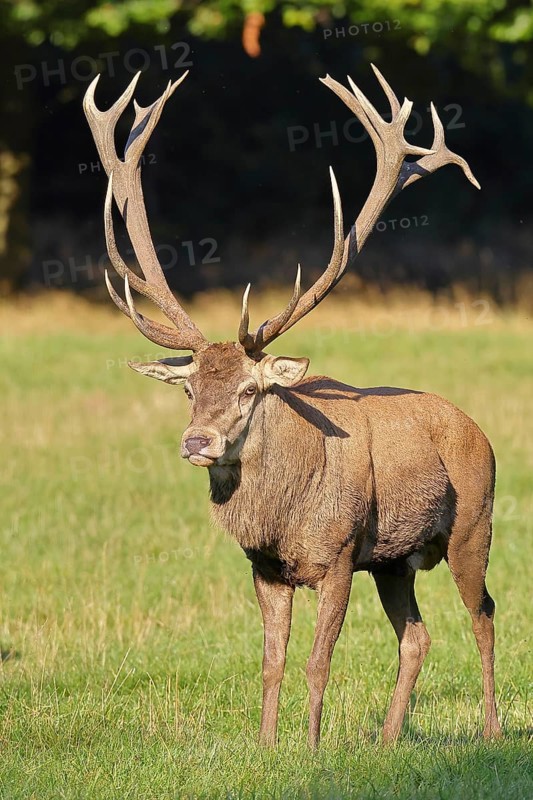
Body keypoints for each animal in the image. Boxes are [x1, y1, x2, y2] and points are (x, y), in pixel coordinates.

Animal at [84, 65, 502, 748]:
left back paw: (491, 729)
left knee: (484, 613)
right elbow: (271, 660)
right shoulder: (267, 568)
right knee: (417, 636)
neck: (284, 517)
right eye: (190, 388)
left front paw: (309, 746)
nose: (196, 442)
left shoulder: (339, 555)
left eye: (250, 390)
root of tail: (479, 431)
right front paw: (265, 744)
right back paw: (388, 738)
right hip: (394, 562)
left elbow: (317, 659)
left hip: (473, 523)